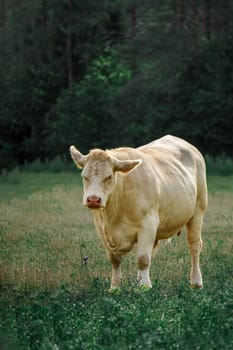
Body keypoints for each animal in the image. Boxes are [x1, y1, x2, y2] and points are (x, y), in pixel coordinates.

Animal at [69, 135, 208, 292]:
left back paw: (196, 282)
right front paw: (115, 288)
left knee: (194, 245)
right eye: (84, 176)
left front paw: (144, 287)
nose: (93, 199)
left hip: (198, 210)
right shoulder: (102, 229)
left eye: (109, 176)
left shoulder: (148, 224)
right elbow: (115, 260)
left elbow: (142, 258)